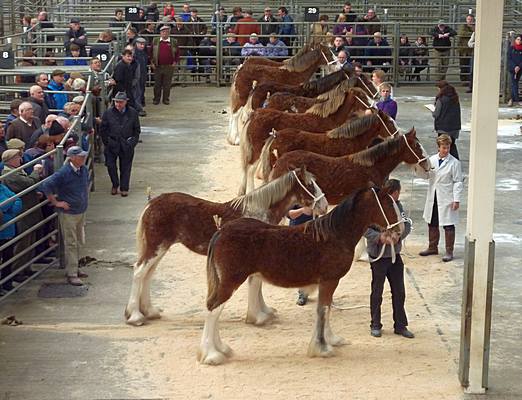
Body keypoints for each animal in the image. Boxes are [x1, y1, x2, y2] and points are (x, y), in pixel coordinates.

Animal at [124, 167, 324, 326]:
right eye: (310, 185)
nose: (323, 204)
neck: (257, 211)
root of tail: (153, 202)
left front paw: (265, 312)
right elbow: (255, 284)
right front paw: (258, 317)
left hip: (160, 248)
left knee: (148, 274)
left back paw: (150, 312)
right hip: (156, 246)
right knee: (139, 272)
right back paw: (135, 316)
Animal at [196, 188, 402, 366]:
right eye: (389, 203)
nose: (400, 229)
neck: (335, 235)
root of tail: (221, 231)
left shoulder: (329, 282)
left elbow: (327, 309)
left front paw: (332, 340)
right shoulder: (329, 281)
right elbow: (323, 310)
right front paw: (322, 348)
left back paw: (221, 349)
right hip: (230, 282)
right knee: (213, 310)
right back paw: (212, 355)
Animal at [240, 86, 370, 195]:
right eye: (362, 96)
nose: (371, 108)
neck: (330, 118)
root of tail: (255, 114)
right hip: (257, 149)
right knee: (250, 169)